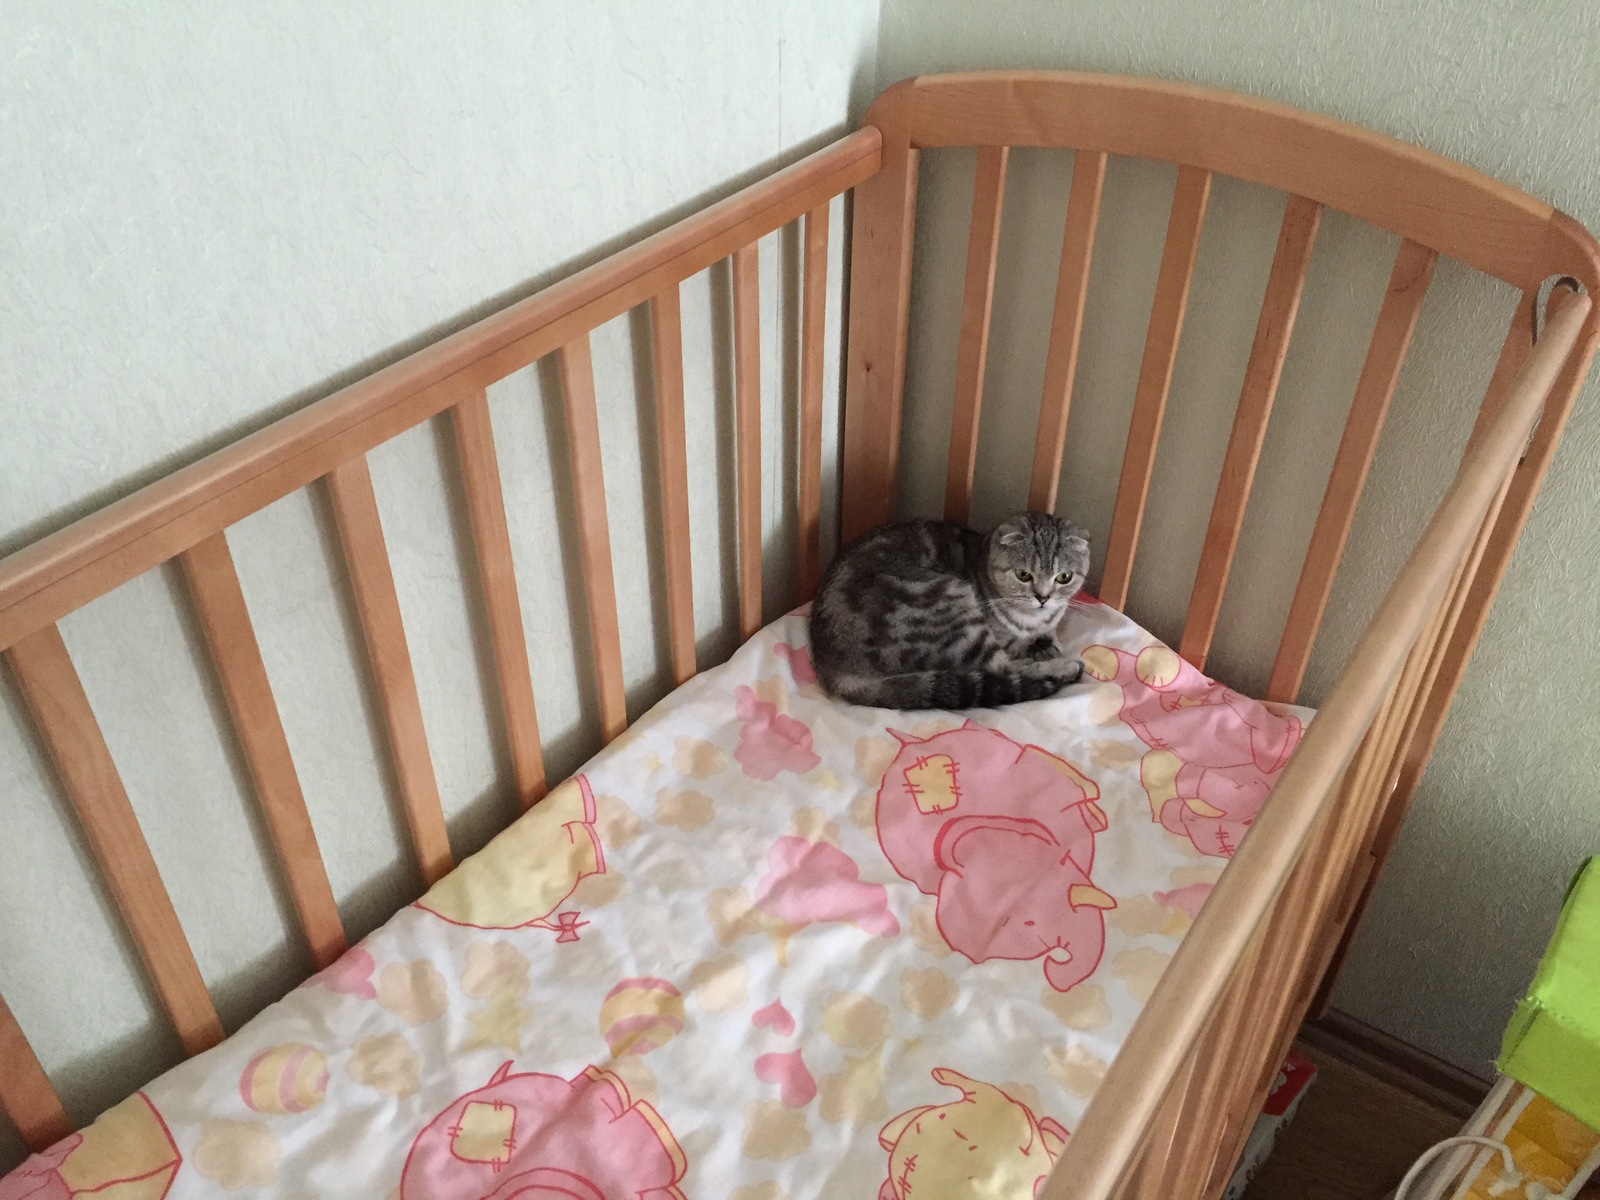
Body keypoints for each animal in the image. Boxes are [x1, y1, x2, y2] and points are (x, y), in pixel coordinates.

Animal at [806, 512, 1094, 710]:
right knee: (1001, 668)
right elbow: (1015, 653)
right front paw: (1045, 653)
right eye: (1023, 574)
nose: (1043, 597)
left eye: (1064, 577)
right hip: (948, 604)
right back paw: (1065, 668)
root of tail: (831, 666)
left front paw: (1045, 643)